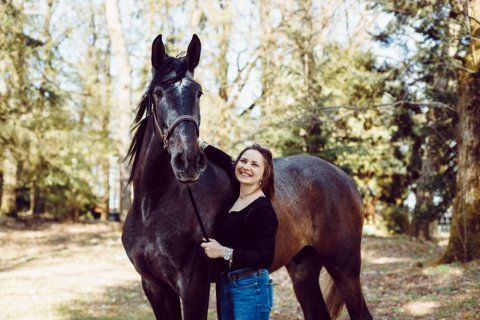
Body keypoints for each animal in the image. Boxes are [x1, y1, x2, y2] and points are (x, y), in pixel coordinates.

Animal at [122, 34, 374, 320]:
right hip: (303, 271)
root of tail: (345, 179)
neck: (151, 207)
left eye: (198, 93)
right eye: (158, 93)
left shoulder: (192, 287)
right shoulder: (155, 287)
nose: (188, 161)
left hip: (345, 269)